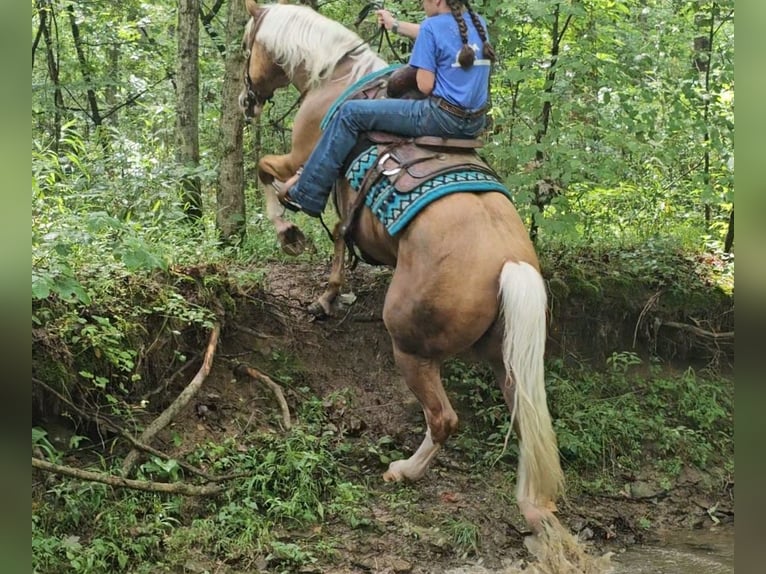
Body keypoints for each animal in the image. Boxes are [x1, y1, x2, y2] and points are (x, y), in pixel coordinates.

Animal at [238, 1, 564, 536]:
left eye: (247, 44)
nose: (247, 101)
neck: (337, 77)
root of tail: (509, 264)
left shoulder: (304, 158)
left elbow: (268, 173)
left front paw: (288, 233)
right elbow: (338, 236)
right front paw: (329, 294)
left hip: (410, 345)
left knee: (444, 419)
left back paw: (405, 470)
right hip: (504, 354)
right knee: (524, 412)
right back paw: (531, 500)